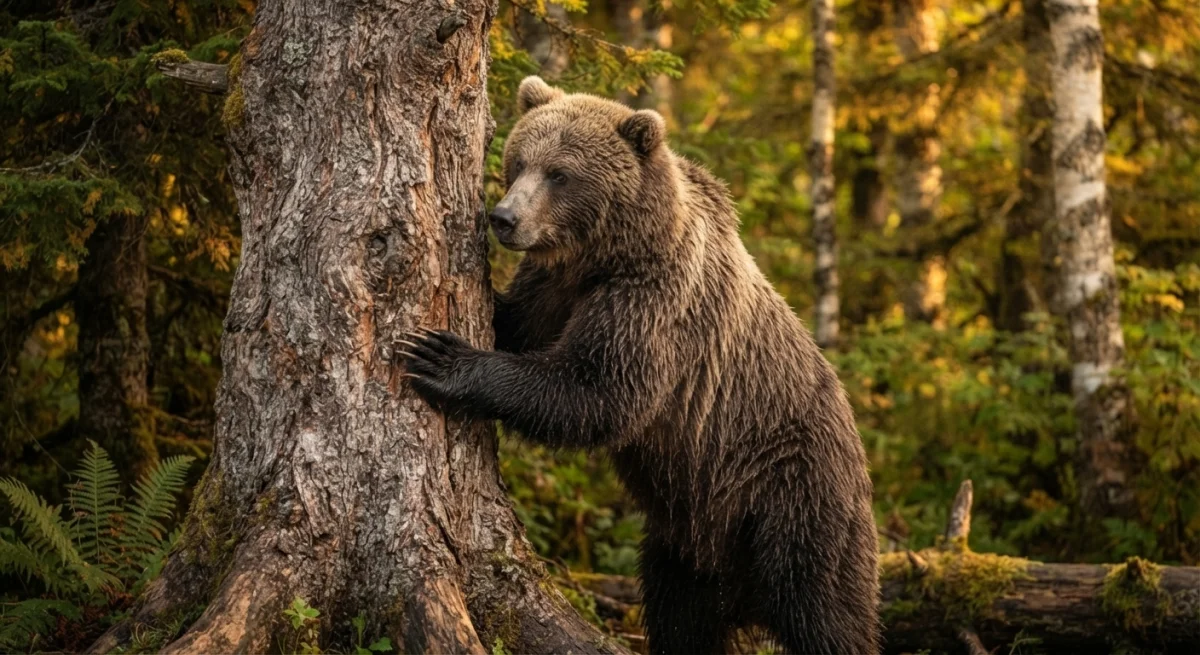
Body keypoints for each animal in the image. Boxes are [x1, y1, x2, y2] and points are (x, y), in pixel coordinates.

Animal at [400, 76, 880, 655]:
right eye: (520, 161)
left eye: (560, 173)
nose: (505, 218)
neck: (604, 257)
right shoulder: (555, 289)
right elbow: (519, 327)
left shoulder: (653, 303)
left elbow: (600, 391)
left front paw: (440, 356)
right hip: (688, 541)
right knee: (680, 615)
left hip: (795, 496)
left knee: (824, 610)